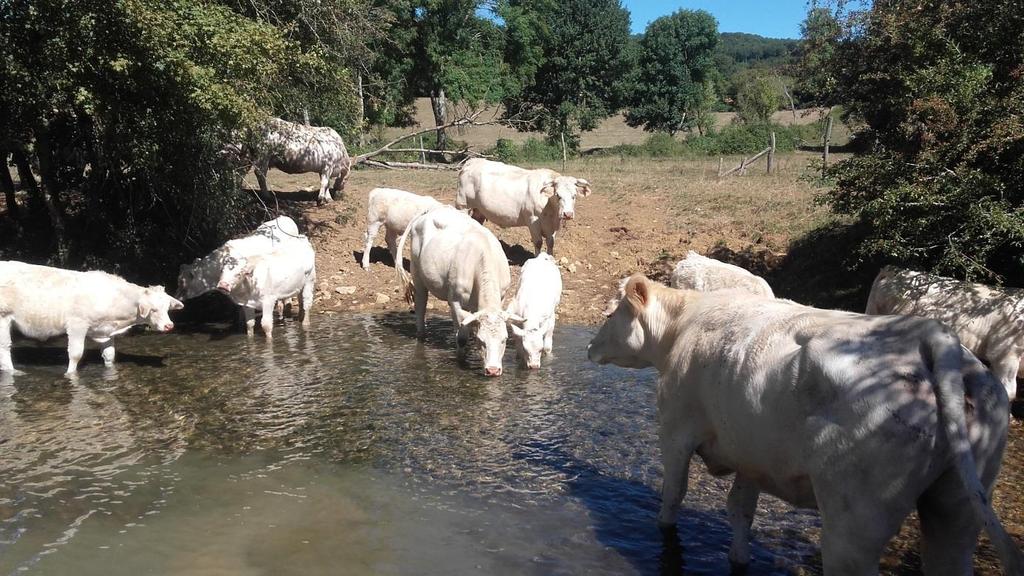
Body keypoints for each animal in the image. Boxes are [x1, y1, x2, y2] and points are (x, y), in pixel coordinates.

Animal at [0, 260, 182, 373]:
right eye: (153, 309)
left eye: (167, 308)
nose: (169, 326)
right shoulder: (77, 325)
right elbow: (75, 354)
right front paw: (70, 374)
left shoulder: (106, 330)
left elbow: (109, 355)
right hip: (3, 318)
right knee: (5, 348)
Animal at [456, 157, 593, 254]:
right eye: (558, 195)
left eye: (574, 195)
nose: (567, 214)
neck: (551, 211)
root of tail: (472, 161)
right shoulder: (533, 221)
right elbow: (538, 243)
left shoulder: (552, 226)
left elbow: (550, 243)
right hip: (462, 205)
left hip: (478, 210)